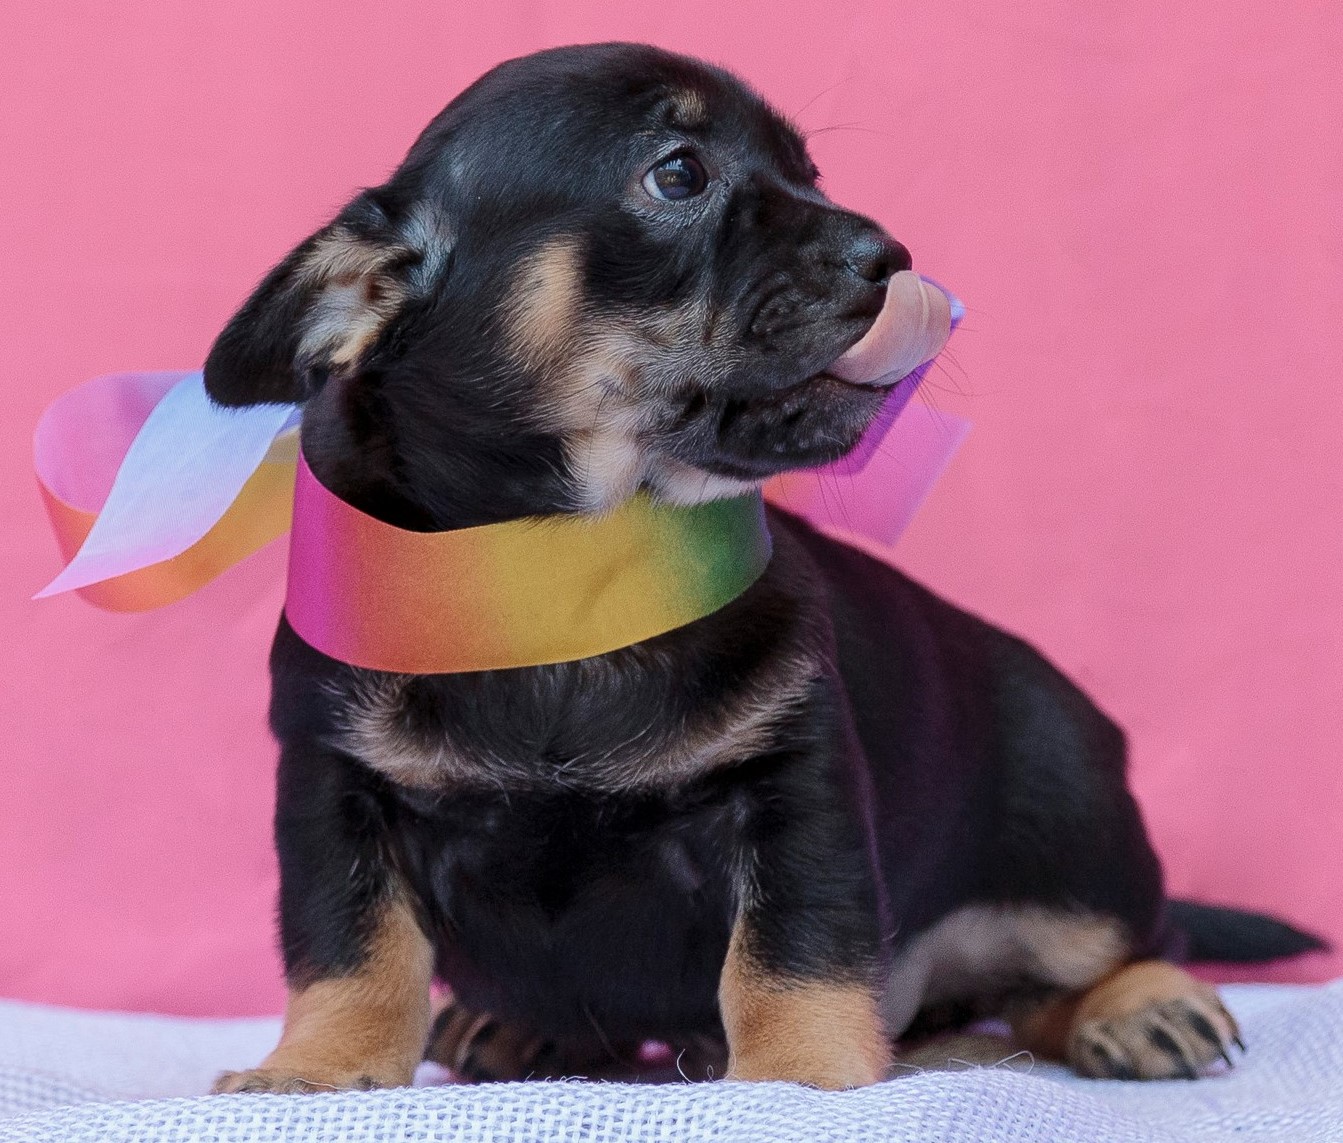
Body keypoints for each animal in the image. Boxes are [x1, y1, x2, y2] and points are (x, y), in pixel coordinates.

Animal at [209, 44, 1321, 1095]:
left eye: (809, 174)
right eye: (677, 174)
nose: (888, 254)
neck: (566, 570)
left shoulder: (794, 789)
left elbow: (792, 947)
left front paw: (799, 1069)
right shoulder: (333, 794)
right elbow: (352, 949)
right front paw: (317, 1064)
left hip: (1066, 845)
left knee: (1097, 955)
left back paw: (1140, 1005)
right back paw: (508, 1025)